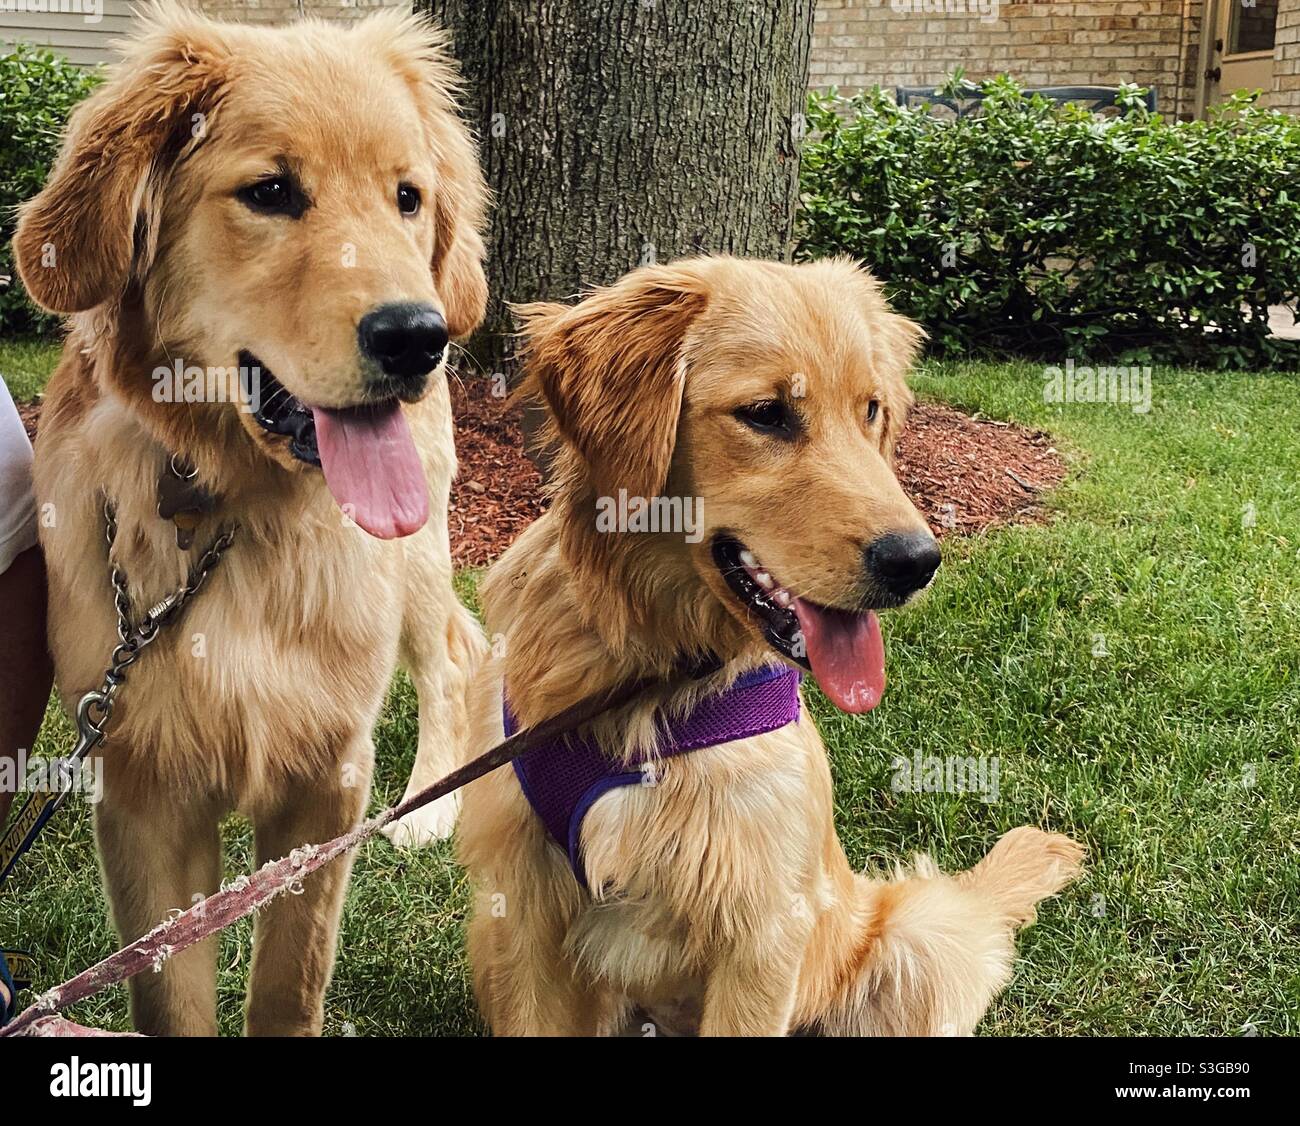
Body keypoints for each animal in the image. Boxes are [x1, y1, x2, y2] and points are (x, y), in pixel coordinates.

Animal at [12, 4, 488, 1029]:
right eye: (270, 192)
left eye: (407, 197)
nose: (419, 337)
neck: (232, 505)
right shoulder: (141, 794)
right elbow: (169, 994)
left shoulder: (328, 780)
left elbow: (285, 983)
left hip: (416, 547)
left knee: (458, 651)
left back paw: (430, 803)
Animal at [452, 258, 1081, 1029]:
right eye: (765, 412)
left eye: (871, 410)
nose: (917, 561)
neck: (654, 677)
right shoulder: (524, 910)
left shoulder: (763, 929)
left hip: (915, 937)